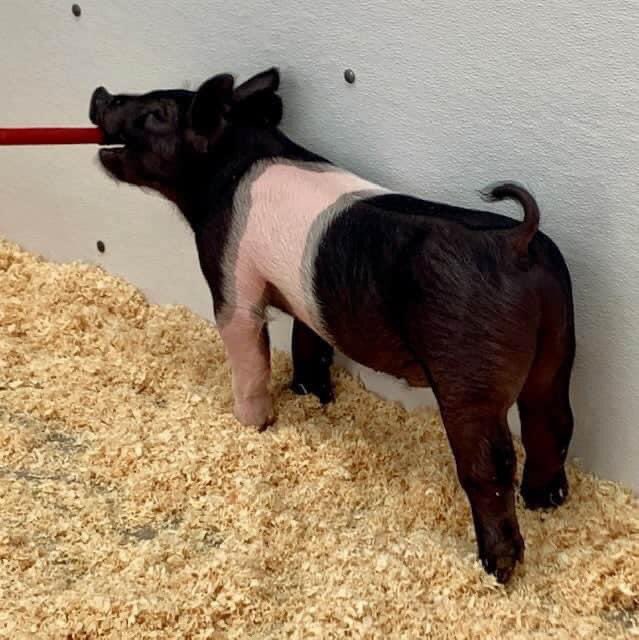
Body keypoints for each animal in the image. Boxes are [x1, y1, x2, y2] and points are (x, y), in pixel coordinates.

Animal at [89, 68, 575, 583]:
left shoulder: (231, 278)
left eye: (156, 113)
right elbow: (310, 341)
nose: (100, 93)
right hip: (559, 342)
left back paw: (497, 566)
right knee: (552, 418)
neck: (229, 164)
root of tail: (514, 241)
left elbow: (248, 351)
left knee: (490, 465)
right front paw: (310, 393)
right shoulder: (307, 301)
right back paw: (545, 501)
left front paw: (250, 424)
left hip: (469, 376)